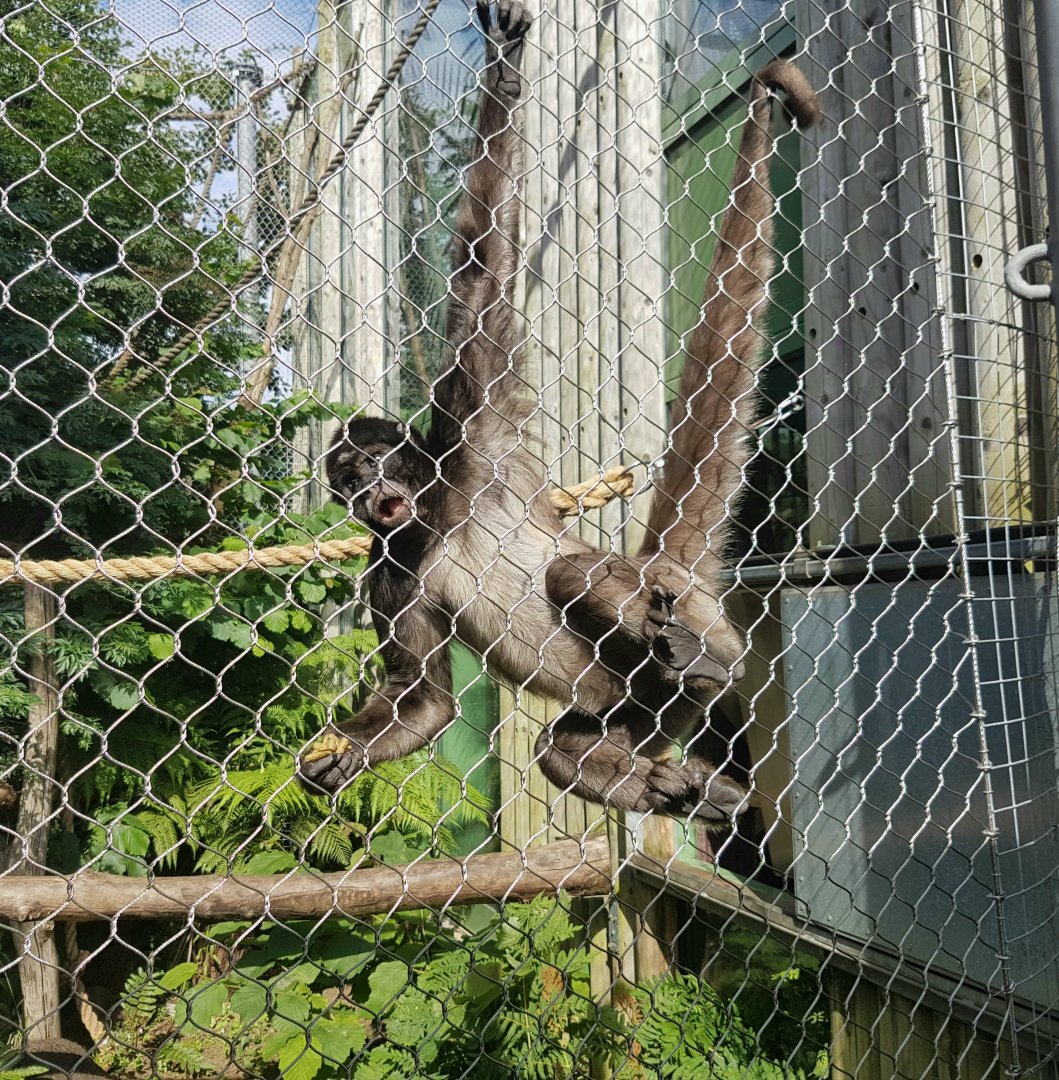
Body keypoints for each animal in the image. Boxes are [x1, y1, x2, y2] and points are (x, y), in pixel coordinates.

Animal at [298, 0, 819, 821]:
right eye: (346, 482)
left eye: (373, 464)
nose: (368, 494)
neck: (435, 519)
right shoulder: (388, 567)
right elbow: (423, 703)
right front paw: (340, 756)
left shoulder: (472, 432)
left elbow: (483, 272)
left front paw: (506, 63)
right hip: (641, 710)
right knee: (560, 749)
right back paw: (689, 789)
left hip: (686, 610)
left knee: (576, 572)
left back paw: (697, 662)